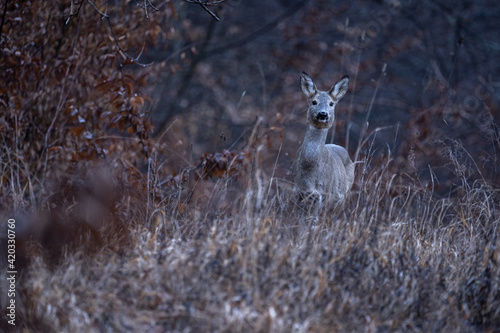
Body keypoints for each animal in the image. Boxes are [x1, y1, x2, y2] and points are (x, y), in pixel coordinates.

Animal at [290, 71, 356, 214]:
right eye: (314, 102)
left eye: (331, 103)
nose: (323, 114)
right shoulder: (296, 191)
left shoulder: (324, 195)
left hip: (343, 196)